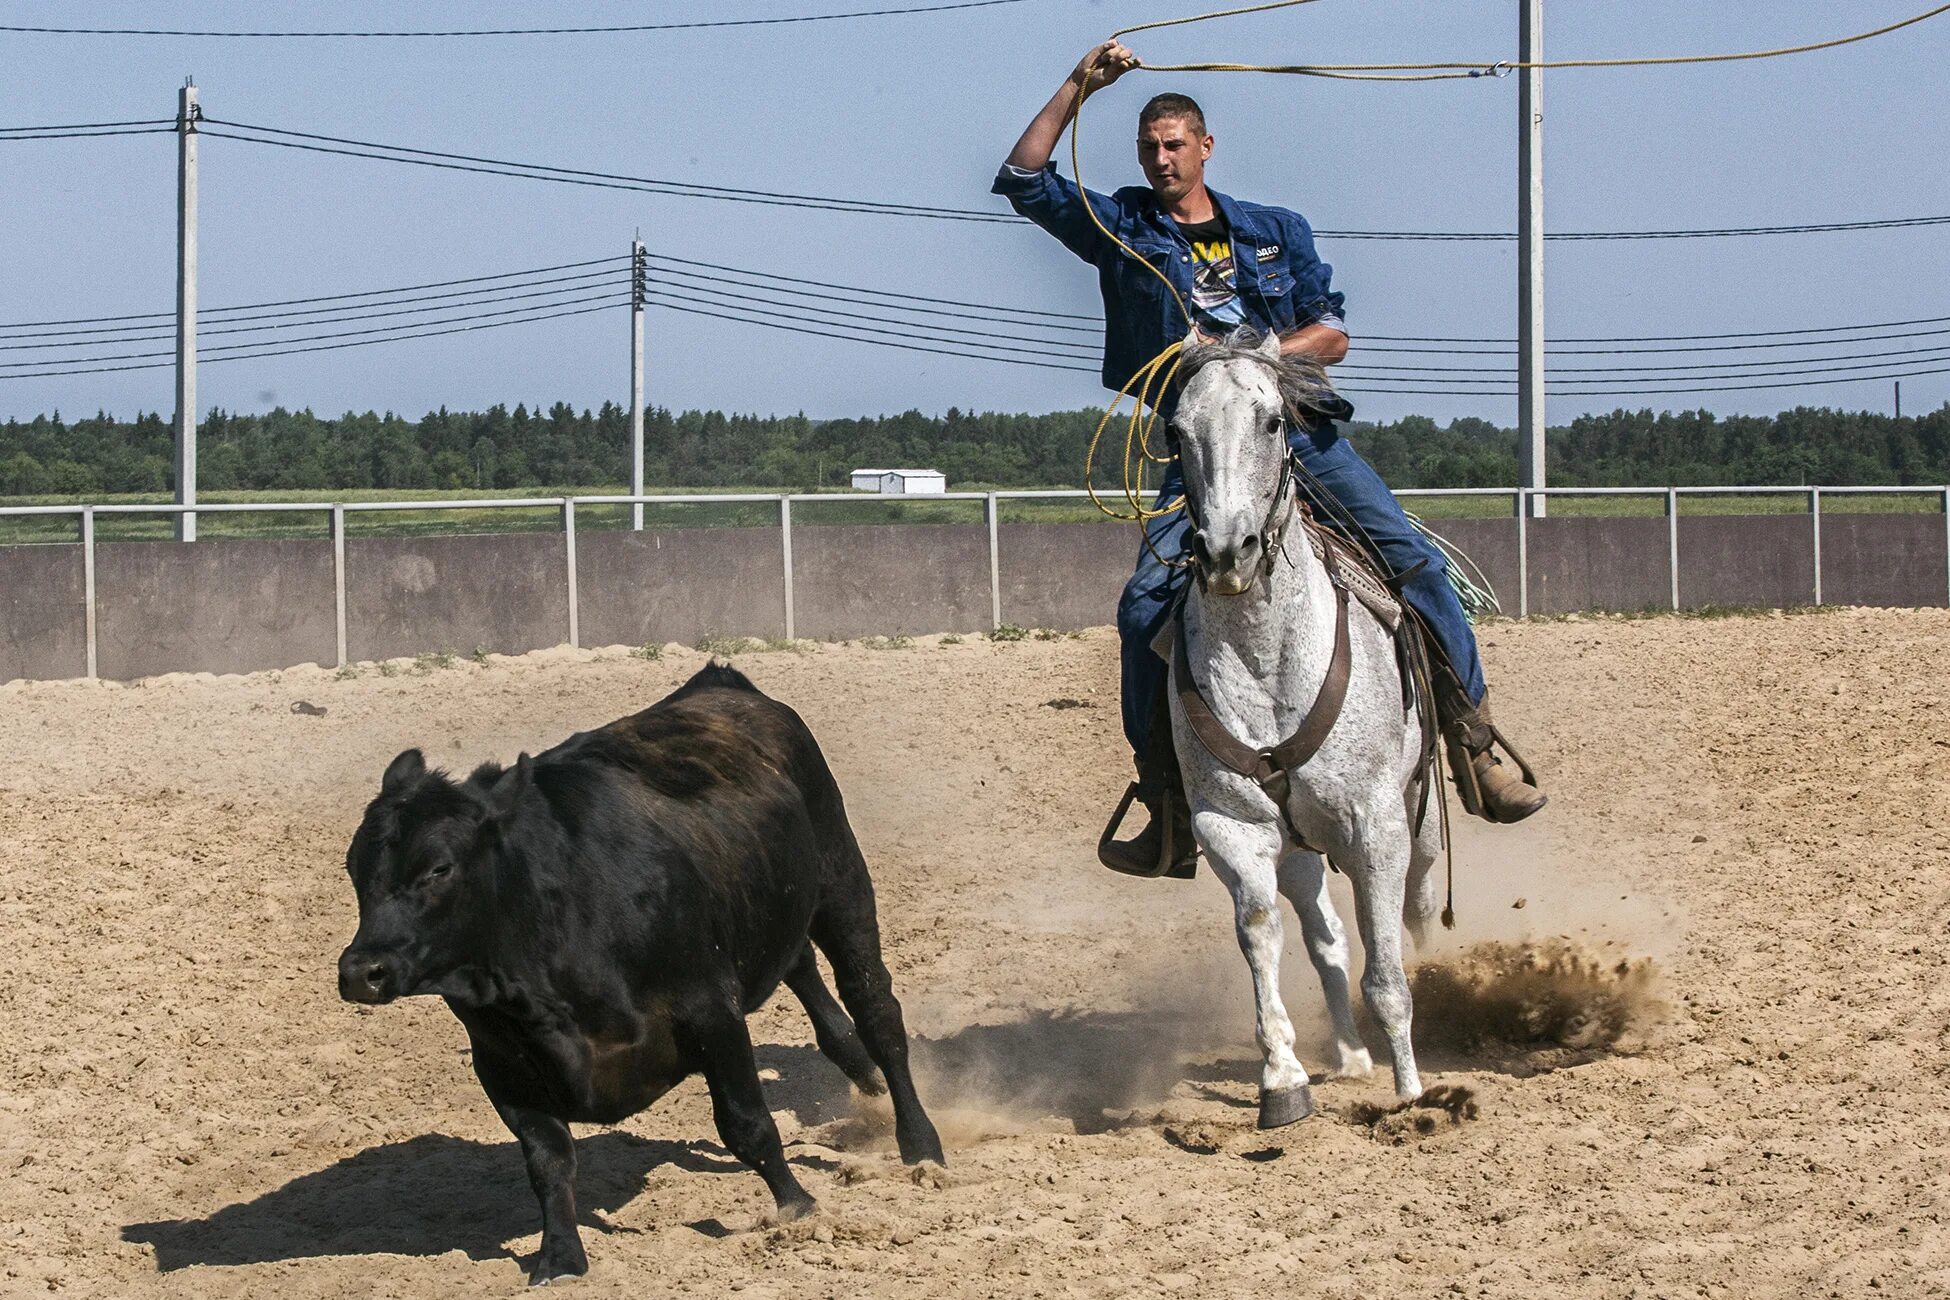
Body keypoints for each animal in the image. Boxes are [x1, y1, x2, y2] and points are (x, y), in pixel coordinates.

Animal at [335, 666, 943, 1286]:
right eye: (354, 869)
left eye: (439, 868)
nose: (362, 972)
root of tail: (722, 683)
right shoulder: (502, 1067)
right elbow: (548, 1162)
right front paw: (559, 1258)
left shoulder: (711, 1010)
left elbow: (747, 1124)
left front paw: (799, 1208)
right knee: (807, 979)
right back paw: (864, 1076)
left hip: (839, 878)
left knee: (876, 1009)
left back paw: (921, 1146)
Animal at [1162, 327, 1443, 1130]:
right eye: (1177, 432)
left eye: (1272, 422)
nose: (1227, 552)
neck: (1268, 660)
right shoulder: (1231, 826)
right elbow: (1263, 933)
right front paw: (1283, 1078)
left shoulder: (1376, 824)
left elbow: (1388, 975)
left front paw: (1412, 1093)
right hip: (1300, 846)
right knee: (1326, 939)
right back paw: (1348, 1057)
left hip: (1417, 821)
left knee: (1416, 908)